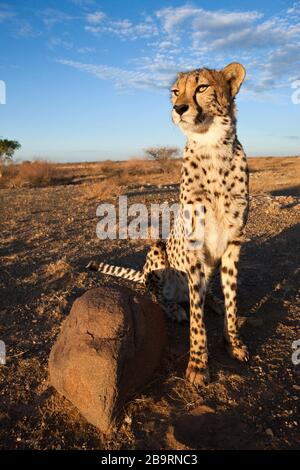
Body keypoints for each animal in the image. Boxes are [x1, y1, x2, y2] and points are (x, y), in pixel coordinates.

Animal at [87, 61, 251, 386]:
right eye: (176, 91)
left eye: (202, 87)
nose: (178, 108)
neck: (213, 147)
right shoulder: (194, 248)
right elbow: (197, 320)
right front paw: (198, 363)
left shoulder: (233, 245)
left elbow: (232, 300)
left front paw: (233, 342)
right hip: (157, 251)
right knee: (159, 295)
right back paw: (175, 307)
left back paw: (213, 300)